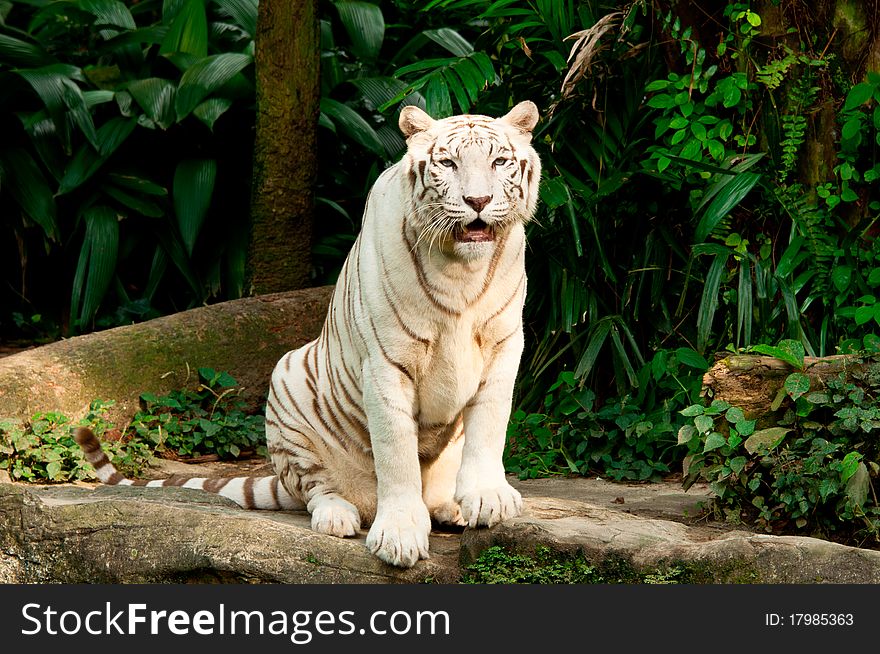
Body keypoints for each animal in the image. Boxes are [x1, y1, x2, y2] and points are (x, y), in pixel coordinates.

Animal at [75, 101, 540, 568]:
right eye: (448, 163)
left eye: (499, 162)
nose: (478, 201)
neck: (461, 269)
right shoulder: (386, 362)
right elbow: (396, 455)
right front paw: (400, 535)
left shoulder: (503, 347)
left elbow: (489, 427)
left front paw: (487, 499)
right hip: (287, 388)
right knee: (317, 489)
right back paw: (339, 515)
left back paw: (450, 507)